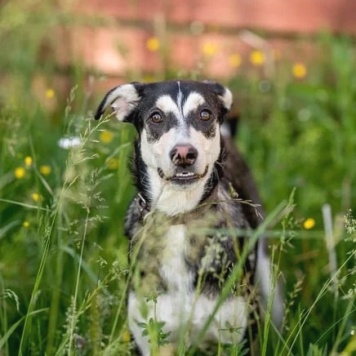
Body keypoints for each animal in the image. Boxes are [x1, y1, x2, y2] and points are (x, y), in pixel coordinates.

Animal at [95, 81, 284, 356]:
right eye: (156, 117)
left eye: (205, 114)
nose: (184, 153)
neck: (180, 217)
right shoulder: (151, 337)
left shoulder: (235, 337)